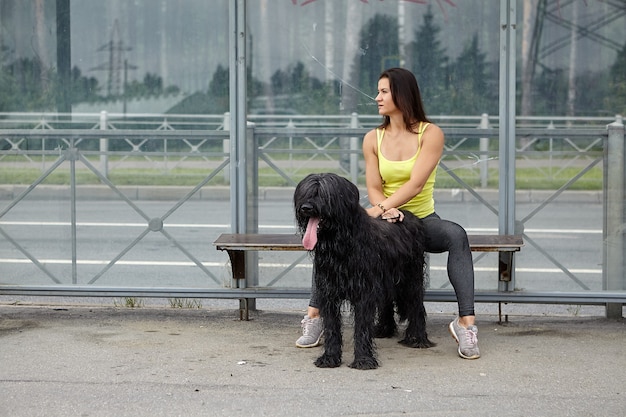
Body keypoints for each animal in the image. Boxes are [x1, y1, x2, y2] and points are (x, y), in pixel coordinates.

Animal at [294, 171, 434, 368]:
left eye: (324, 194)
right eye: (305, 192)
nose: (306, 208)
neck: (341, 244)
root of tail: (410, 217)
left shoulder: (364, 292)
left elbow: (361, 327)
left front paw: (363, 359)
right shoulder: (329, 292)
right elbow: (331, 327)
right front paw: (329, 357)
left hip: (410, 277)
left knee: (416, 304)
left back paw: (417, 338)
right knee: (387, 301)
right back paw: (384, 329)